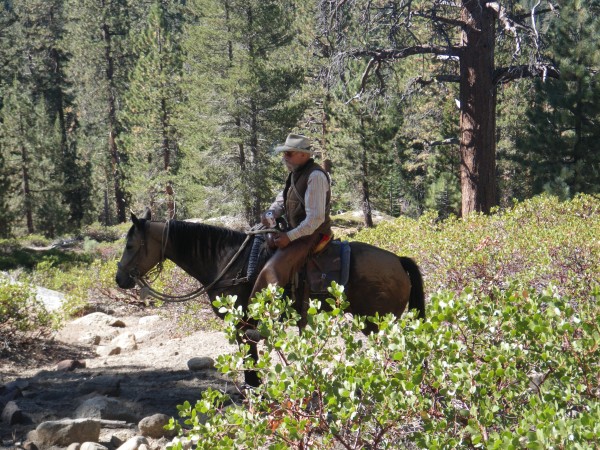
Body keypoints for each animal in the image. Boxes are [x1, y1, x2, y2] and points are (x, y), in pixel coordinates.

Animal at [116, 208, 426, 386]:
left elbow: (250, 361)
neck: (229, 261)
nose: (119, 279)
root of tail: (398, 260)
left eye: (130, 245)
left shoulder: (242, 324)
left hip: (378, 323)